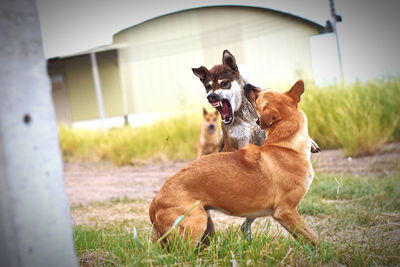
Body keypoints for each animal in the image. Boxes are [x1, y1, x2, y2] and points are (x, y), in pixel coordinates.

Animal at [149, 80, 318, 249]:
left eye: (261, 94)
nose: (248, 85)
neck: (285, 144)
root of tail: (155, 202)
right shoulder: (285, 211)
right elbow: (312, 238)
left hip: (207, 229)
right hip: (196, 224)